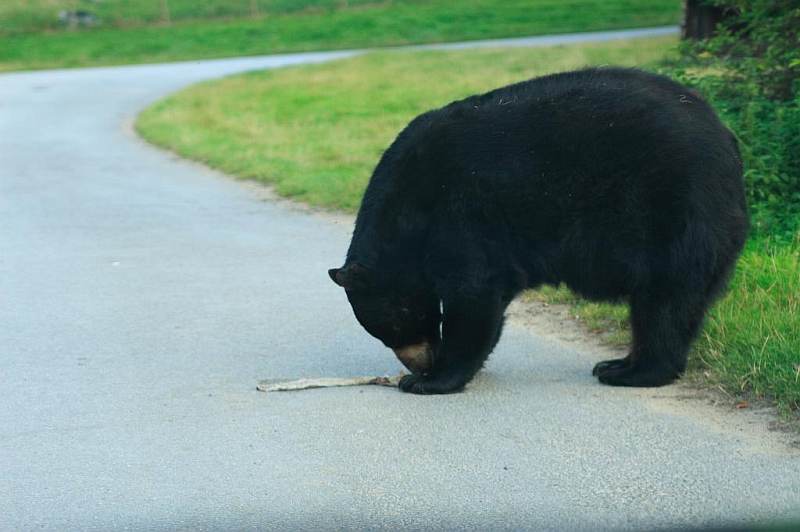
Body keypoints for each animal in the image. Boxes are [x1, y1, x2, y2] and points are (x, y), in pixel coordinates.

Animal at [328, 67, 748, 394]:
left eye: (394, 325)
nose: (420, 364)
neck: (405, 212)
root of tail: (728, 139)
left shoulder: (461, 216)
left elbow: (473, 292)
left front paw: (433, 379)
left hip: (673, 212)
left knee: (665, 300)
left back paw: (634, 371)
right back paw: (618, 364)